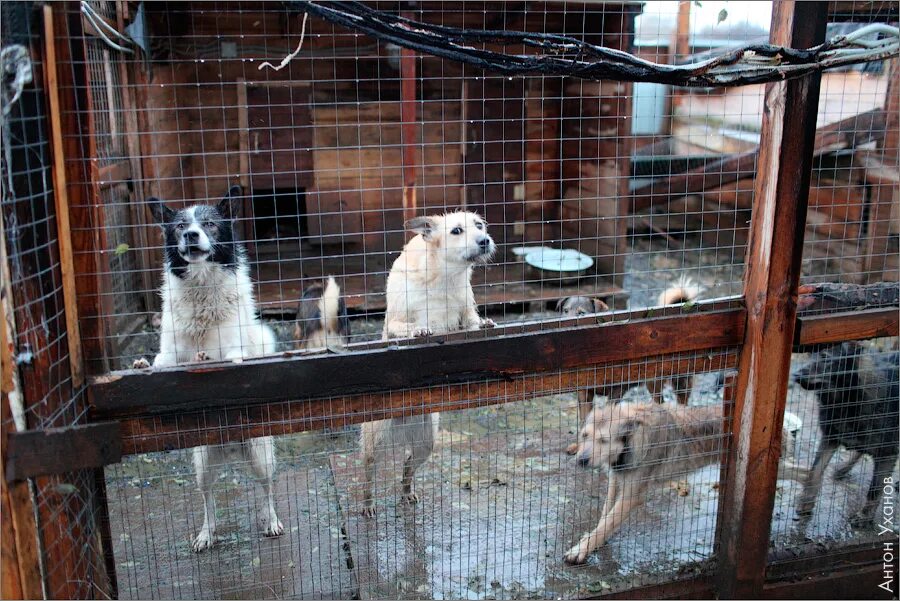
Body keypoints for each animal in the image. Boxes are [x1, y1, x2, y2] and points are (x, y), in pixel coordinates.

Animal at [132, 185, 282, 552]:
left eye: (210, 224)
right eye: (178, 226)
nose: (190, 234)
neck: (201, 287)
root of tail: (229, 447)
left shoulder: (235, 351)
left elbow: (228, 359)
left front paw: (206, 359)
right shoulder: (171, 353)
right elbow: (162, 363)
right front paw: (142, 364)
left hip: (261, 455)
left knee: (267, 489)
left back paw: (270, 520)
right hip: (202, 462)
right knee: (208, 498)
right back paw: (206, 533)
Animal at [360, 212, 500, 516]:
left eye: (479, 225)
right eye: (456, 230)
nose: (484, 240)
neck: (444, 276)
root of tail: (403, 426)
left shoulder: (463, 313)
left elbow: (470, 322)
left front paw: (484, 323)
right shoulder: (395, 320)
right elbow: (404, 326)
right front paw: (419, 330)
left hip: (426, 443)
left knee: (407, 466)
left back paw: (407, 492)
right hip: (375, 442)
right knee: (368, 474)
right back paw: (368, 504)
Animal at [564, 398, 808, 564]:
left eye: (603, 440)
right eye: (584, 436)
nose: (581, 460)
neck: (632, 440)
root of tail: (782, 425)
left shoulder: (632, 495)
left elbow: (607, 523)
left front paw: (582, 549)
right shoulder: (616, 481)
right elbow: (604, 517)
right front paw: (593, 541)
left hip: (767, 464)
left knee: (805, 472)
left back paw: (808, 498)